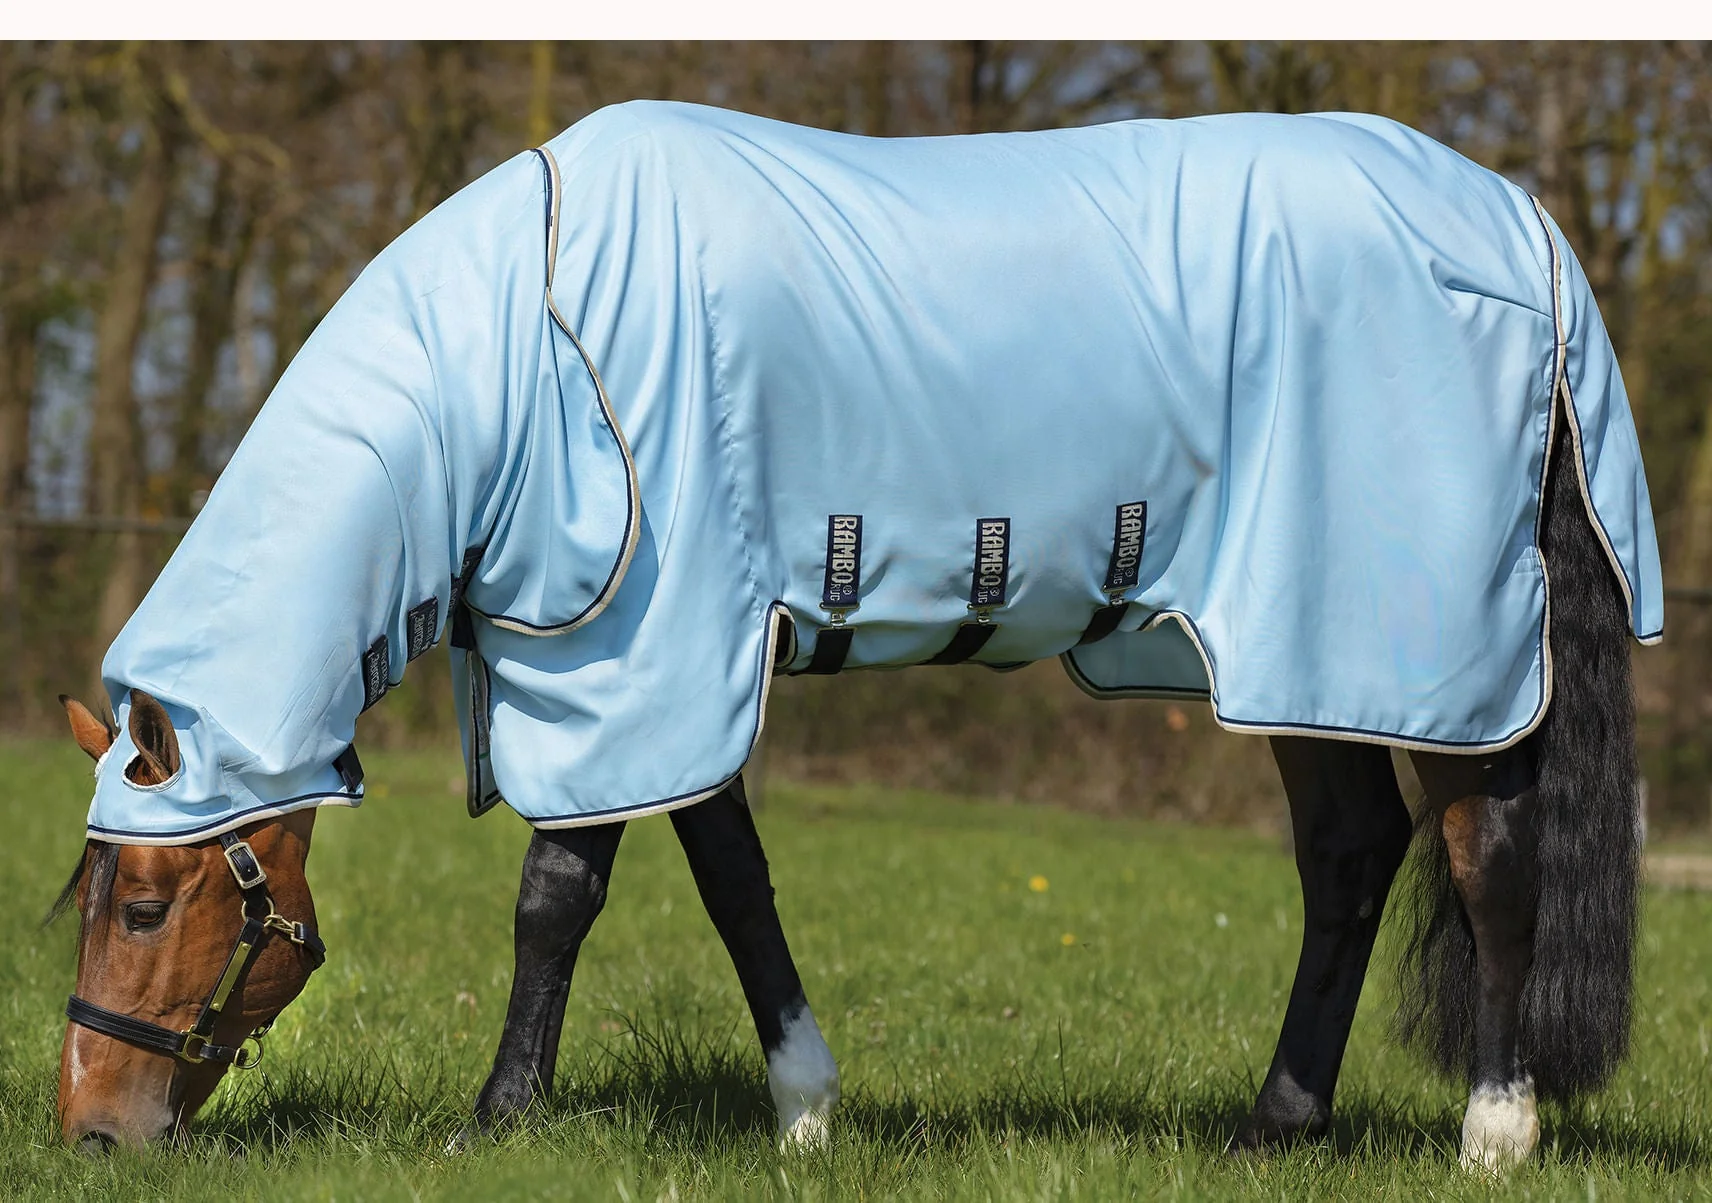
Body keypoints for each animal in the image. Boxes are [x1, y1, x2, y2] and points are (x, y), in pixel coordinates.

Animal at [49, 102, 1659, 1171]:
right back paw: (1276, 1124)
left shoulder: (642, 652)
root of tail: (1520, 227)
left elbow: (559, 897)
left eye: (146, 905)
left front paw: (499, 1117)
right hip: (1290, 657)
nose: (89, 1130)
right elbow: (733, 884)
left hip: (1420, 647)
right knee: (1350, 858)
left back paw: (1494, 1129)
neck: (534, 342)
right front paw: (806, 1106)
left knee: (1487, 858)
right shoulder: (684, 670)